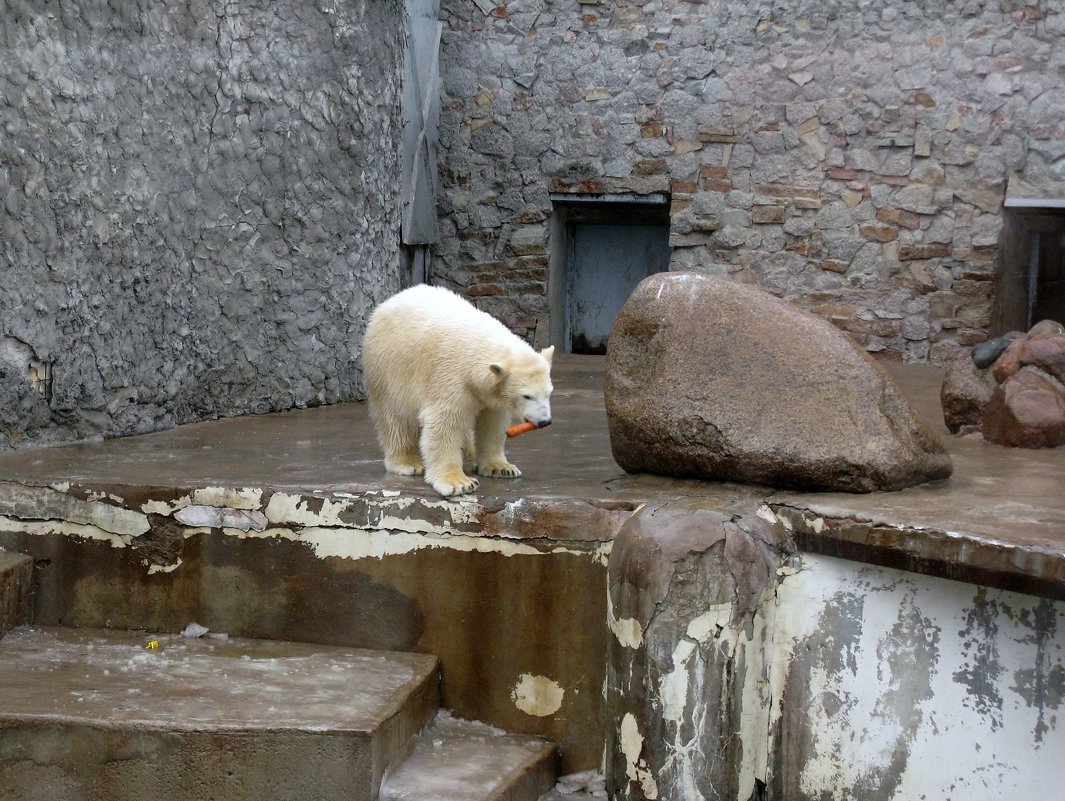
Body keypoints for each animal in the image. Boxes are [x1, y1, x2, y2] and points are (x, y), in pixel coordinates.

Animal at [362, 281, 553, 494]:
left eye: (549, 393)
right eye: (527, 396)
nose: (545, 421)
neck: (475, 349)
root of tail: (385, 305)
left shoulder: (489, 393)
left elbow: (492, 423)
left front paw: (501, 468)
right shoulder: (450, 376)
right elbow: (445, 422)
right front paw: (459, 483)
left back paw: (470, 458)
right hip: (388, 368)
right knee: (396, 417)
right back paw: (408, 462)